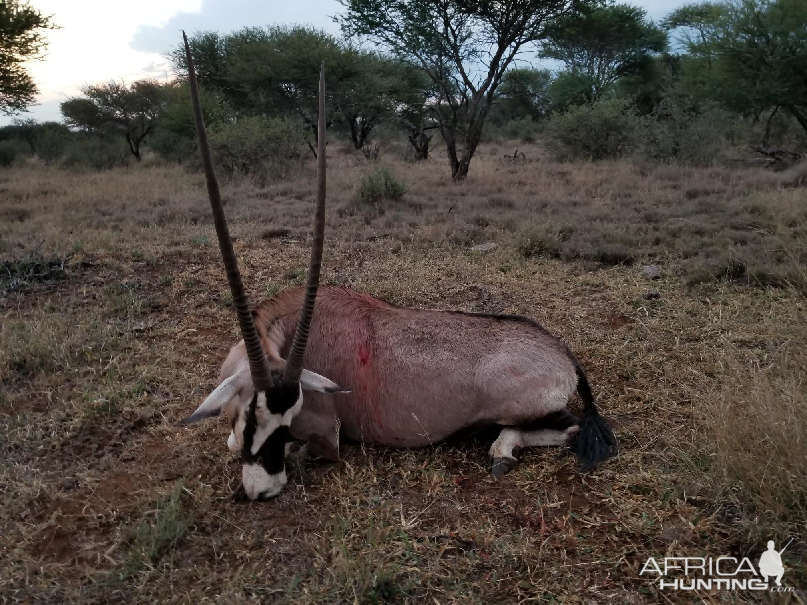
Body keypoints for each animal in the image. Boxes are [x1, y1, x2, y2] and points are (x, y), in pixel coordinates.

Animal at [180, 36, 616, 500]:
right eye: (248, 415)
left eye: (286, 417)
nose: (263, 489)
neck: (288, 327)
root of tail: (562, 352)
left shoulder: (327, 434)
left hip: (522, 408)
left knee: (569, 429)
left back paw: (502, 451)